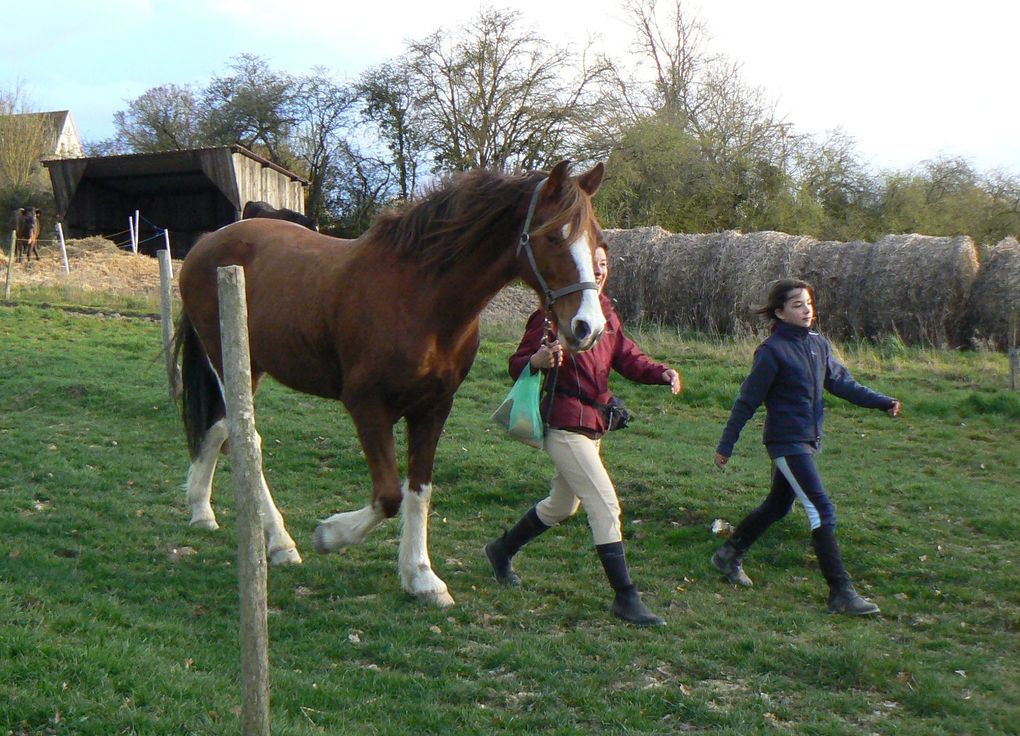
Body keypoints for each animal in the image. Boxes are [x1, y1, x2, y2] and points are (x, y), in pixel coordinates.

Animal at [175, 159, 603, 603]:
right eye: (553, 236)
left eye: (597, 239)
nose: (588, 327)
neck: (420, 299)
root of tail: (207, 243)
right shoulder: (367, 405)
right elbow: (388, 496)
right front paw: (330, 535)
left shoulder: (434, 408)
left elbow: (419, 490)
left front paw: (422, 576)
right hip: (230, 362)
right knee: (244, 438)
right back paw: (279, 542)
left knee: (219, 428)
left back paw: (202, 509)